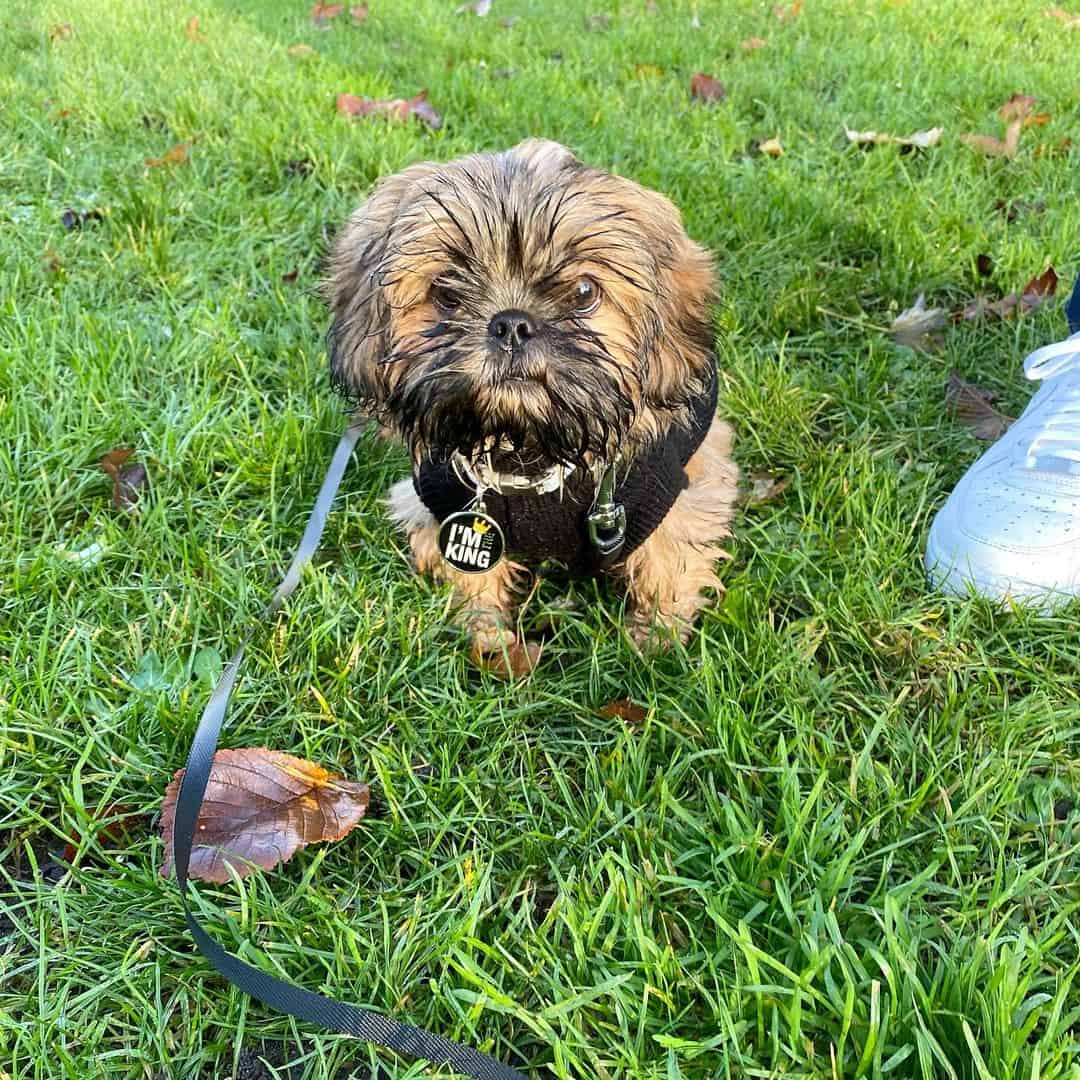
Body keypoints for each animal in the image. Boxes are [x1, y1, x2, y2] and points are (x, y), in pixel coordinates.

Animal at [324, 139, 738, 669]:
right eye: (446, 292)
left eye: (584, 292)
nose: (511, 324)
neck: (529, 452)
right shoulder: (445, 515)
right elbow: (474, 584)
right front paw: (490, 643)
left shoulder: (678, 496)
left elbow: (670, 570)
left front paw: (655, 646)